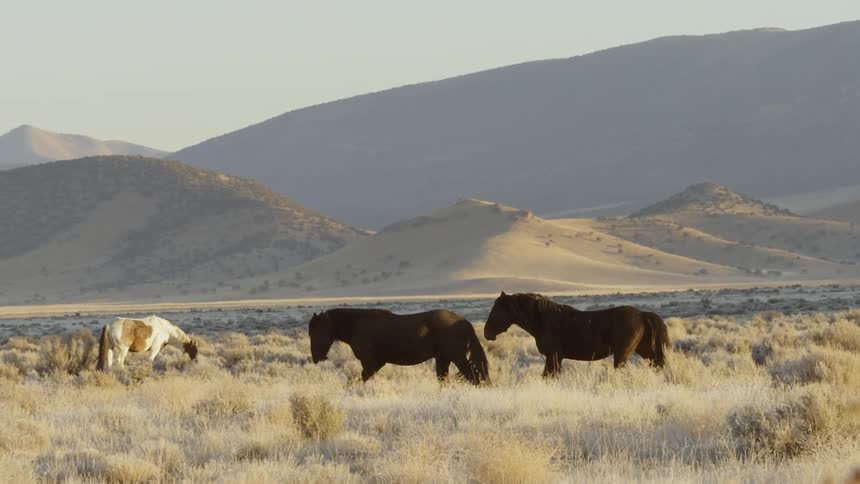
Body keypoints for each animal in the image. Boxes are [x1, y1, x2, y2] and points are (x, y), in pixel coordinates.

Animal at [308, 308, 490, 385]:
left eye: (315, 332)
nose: (316, 357)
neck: (357, 325)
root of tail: (464, 322)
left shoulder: (370, 363)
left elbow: (361, 379)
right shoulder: (376, 364)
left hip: (457, 357)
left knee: (474, 377)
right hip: (443, 359)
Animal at [483, 292, 670, 377]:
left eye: (496, 311)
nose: (486, 333)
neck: (544, 320)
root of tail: (642, 314)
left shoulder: (553, 356)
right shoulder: (555, 358)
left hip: (622, 354)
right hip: (645, 351)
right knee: (658, 365)